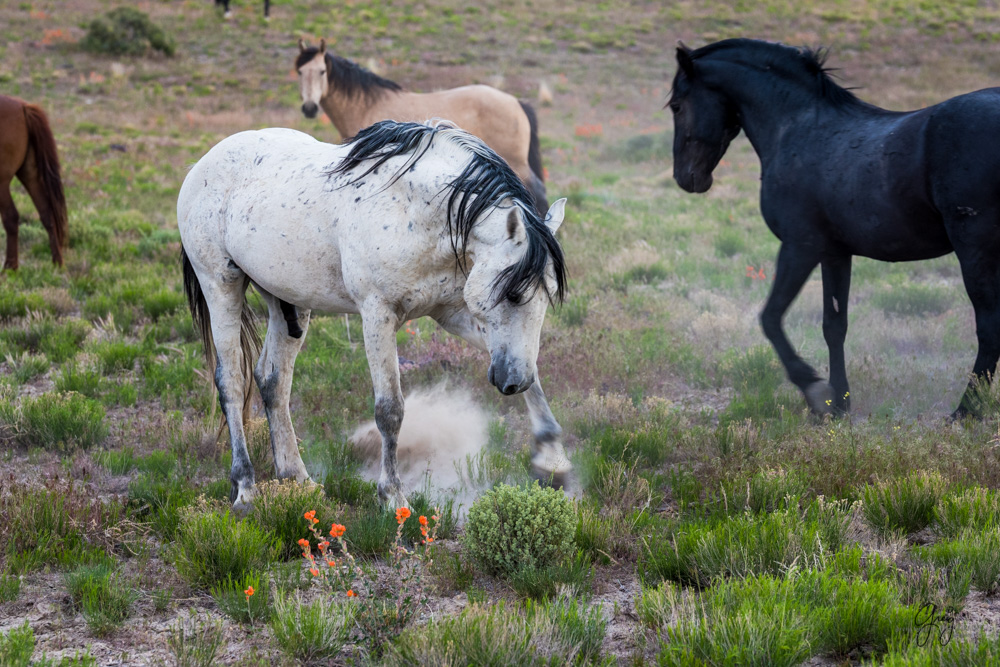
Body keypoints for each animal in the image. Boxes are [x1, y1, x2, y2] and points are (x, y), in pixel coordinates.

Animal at [177, 120, 576, 508]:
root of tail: (201, 165)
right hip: (221, 286)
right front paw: (393, 496)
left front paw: (553, 461)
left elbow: (536, 376)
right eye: (512, 293)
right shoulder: (377, 315)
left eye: (550, 295)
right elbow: (390, 410)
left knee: (272, 379)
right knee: (231, 381)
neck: (416, 213)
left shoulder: (454, 314)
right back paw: (245, 487)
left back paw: (297, 479)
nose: (512, 383)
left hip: (287, 301)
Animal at [668, 37, 1000, 418]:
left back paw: (965, 411)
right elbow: (834, 325)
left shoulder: (800, 246)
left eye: (676, 105)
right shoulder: (835, 253)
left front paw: (814, 390)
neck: (797, 128)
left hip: (975, 248)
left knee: (989, 327)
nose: (686, 177)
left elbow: (771, 317)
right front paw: (839, 402)